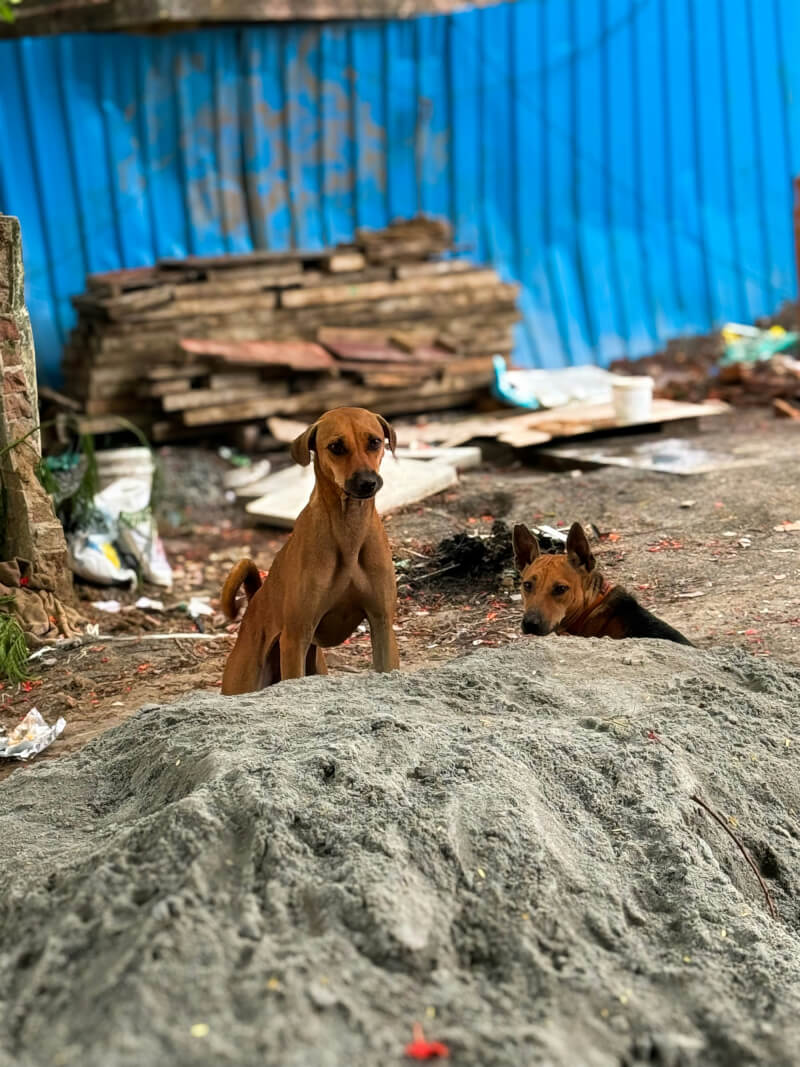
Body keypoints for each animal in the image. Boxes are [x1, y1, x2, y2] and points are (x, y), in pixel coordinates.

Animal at [220, 403, 398, 695]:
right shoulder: (296, 637)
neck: (348, 527)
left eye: (374, 442)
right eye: (336, 447)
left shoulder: (382, 624)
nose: (367, 482)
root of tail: (256, 600)